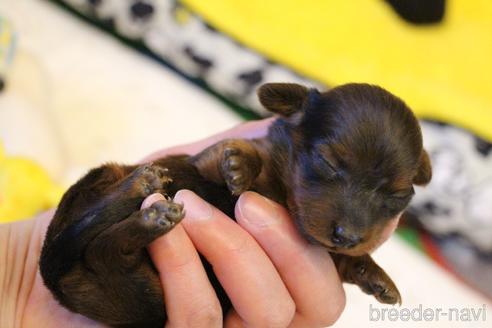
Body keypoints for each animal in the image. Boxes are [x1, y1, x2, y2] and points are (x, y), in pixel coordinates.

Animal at [39, 82, 430, 326]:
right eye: (328, 162)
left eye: (398, 196)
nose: (347, 236)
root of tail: (57, 282)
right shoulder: (204, 160)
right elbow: (234, 157)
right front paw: (240, 165)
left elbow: (342, 260)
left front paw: (376, 277)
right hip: (99, 187)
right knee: (92, 236)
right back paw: (142, 189)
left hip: (136, 289)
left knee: (105, 253)